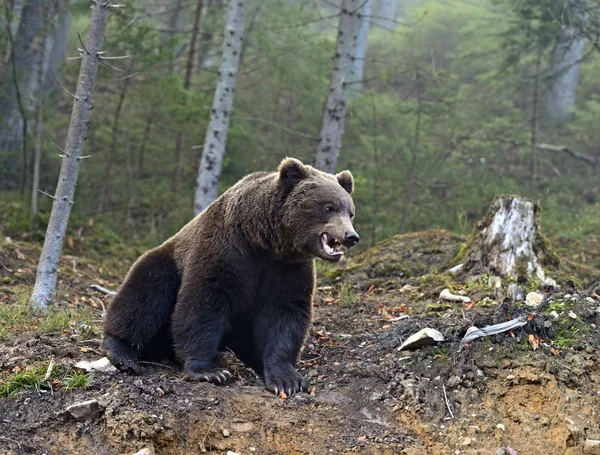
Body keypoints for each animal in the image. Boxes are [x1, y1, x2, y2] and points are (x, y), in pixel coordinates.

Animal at [101, 159, 358, 398]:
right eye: (329, 207)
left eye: (350, 212)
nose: (351, 236)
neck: (263, 241)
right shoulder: (226, 249)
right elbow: (204, 302)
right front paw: (210, 371)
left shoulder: (288, 268)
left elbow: (285, 311)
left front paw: (286, 380)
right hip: (167, 261)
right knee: (145, 294)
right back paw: (122, 353)